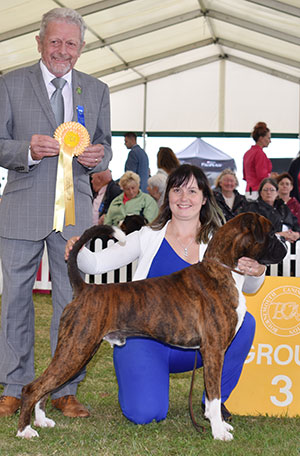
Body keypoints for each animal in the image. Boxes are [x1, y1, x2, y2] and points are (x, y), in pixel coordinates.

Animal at [15, 213, 286, 442]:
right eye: (271, 234)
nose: (285, 241)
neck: (222, 269)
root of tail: (84, 288)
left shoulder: (214, 352)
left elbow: (212, 398)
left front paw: (218, 424)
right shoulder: (214, 351)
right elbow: (214, 394)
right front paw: (219, 433)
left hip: (75, 351)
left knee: (46, 386)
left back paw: (41, 421)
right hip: (76, 350)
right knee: (33, 387)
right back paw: (24, 430)